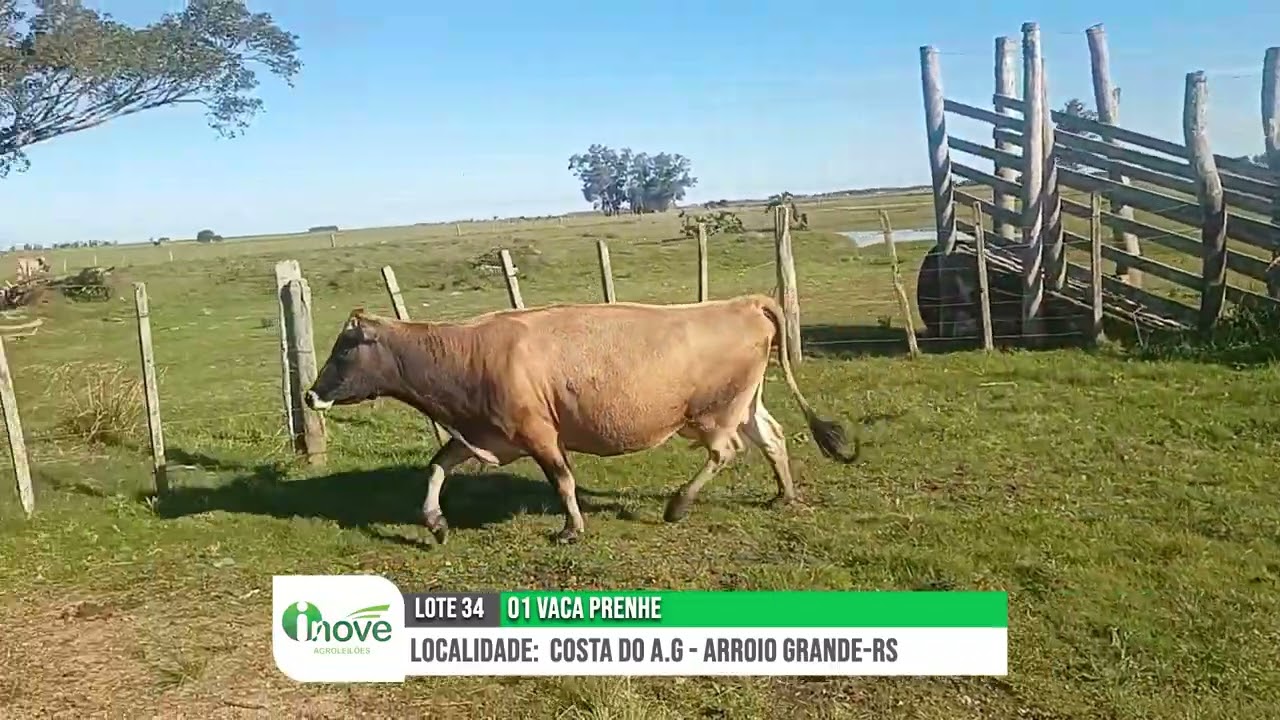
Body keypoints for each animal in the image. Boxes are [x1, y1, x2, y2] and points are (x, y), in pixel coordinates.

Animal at [303, 293, 860, 545]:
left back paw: (679, 504)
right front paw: (435, 521)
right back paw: (784, 495)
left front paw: (572, 529)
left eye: (345, 348)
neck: (469, 353)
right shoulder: (486, 433)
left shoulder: (538, 433)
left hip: (712, 413)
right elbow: (437, 466)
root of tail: (743, 302)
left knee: (726, 451)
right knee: (774, 439)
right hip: (744, 404)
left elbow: (563, 481)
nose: (310, 395)